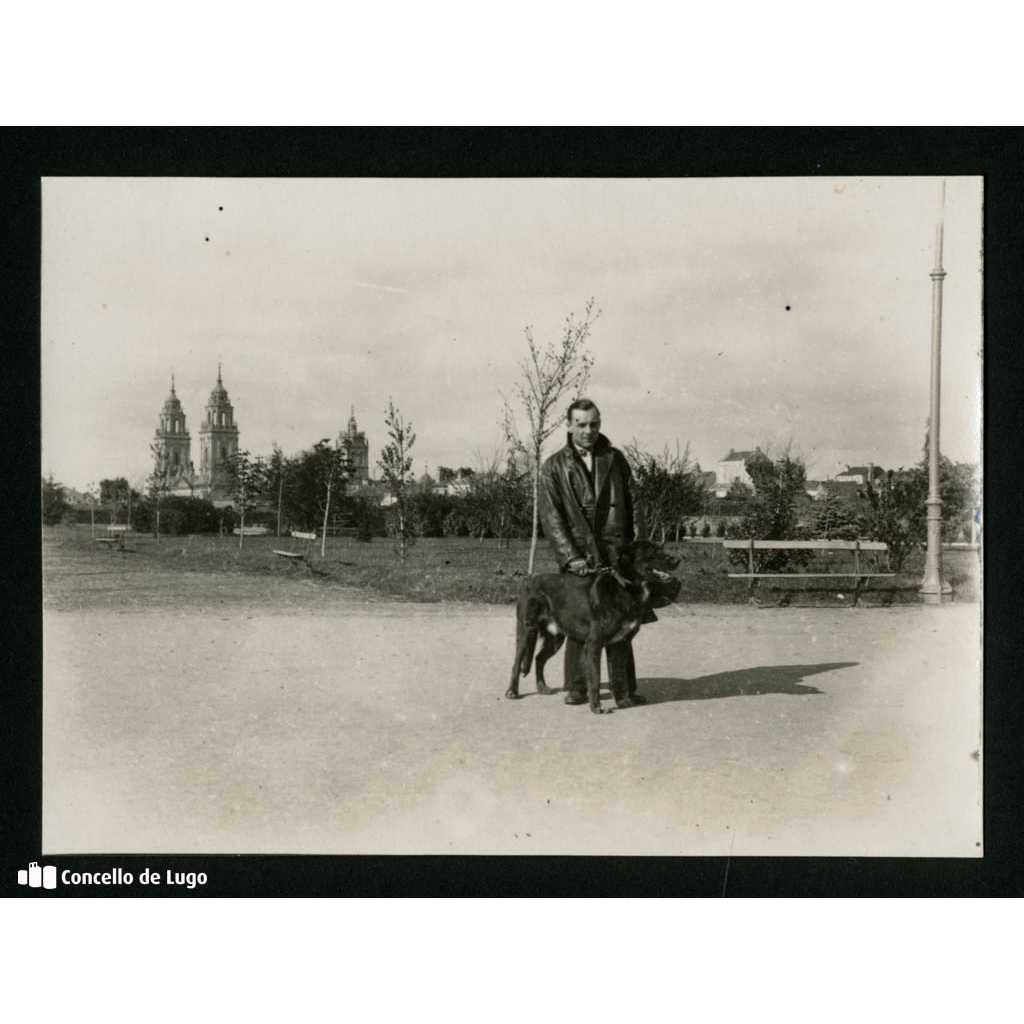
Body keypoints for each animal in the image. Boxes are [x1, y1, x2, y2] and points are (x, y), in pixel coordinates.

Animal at [503, 540, 679, 716]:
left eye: (661, 548)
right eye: (652, 551)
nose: (677, 560)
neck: (626, 587)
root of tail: (530, 579)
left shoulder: (621, 642)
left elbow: (619, 674)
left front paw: (623, 700)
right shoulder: (594, 644)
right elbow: (595, 677)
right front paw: (596, 707)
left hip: (556, 638)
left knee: (539, 658)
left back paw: (542, 687)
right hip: (526, 631)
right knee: (516, 663)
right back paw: (512, 691)